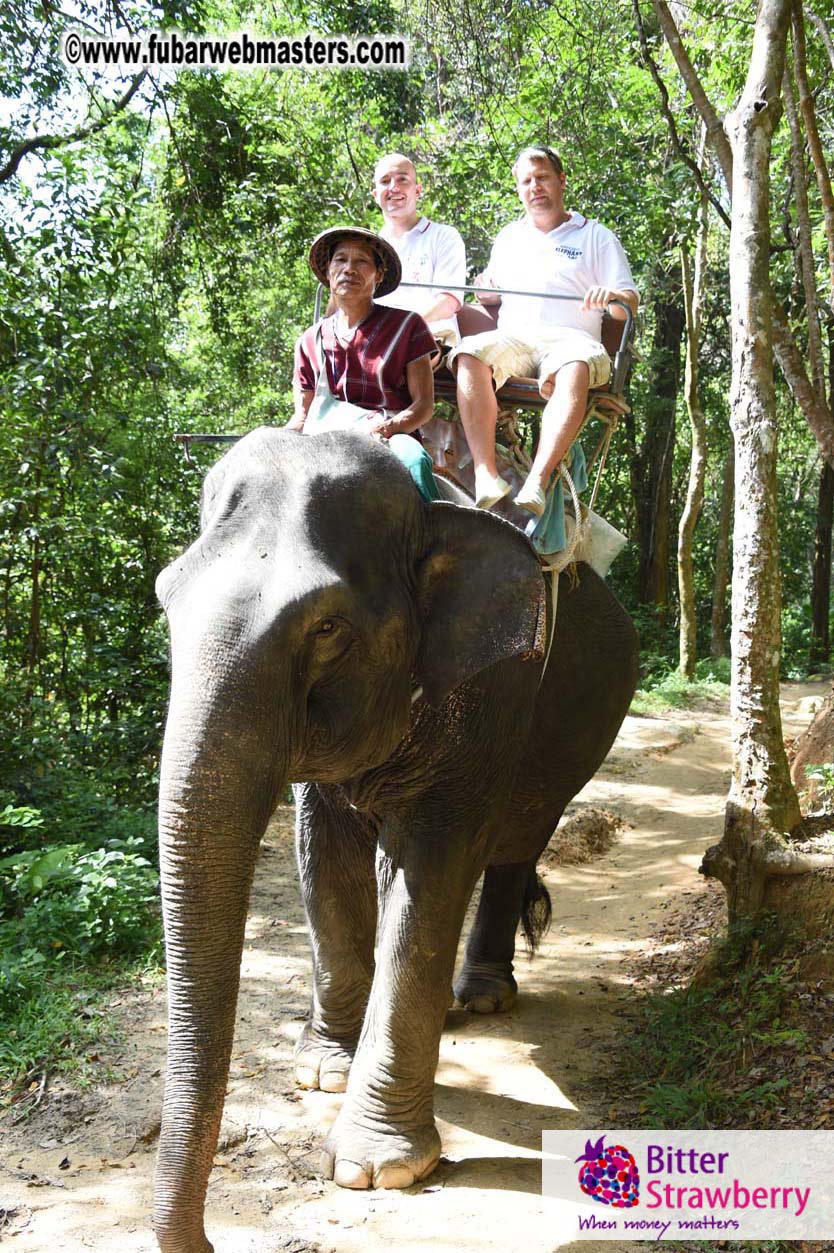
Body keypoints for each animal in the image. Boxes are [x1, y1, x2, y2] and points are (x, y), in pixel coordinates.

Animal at [153, 426, 639, 1252]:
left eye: (326, 627)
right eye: (165, 596)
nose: (209, 1240)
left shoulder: (491, 686)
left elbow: (429, 868)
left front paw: (379, 1167)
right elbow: (326, 861)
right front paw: (323, 1071)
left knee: (515, 841)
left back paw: (481, 995)